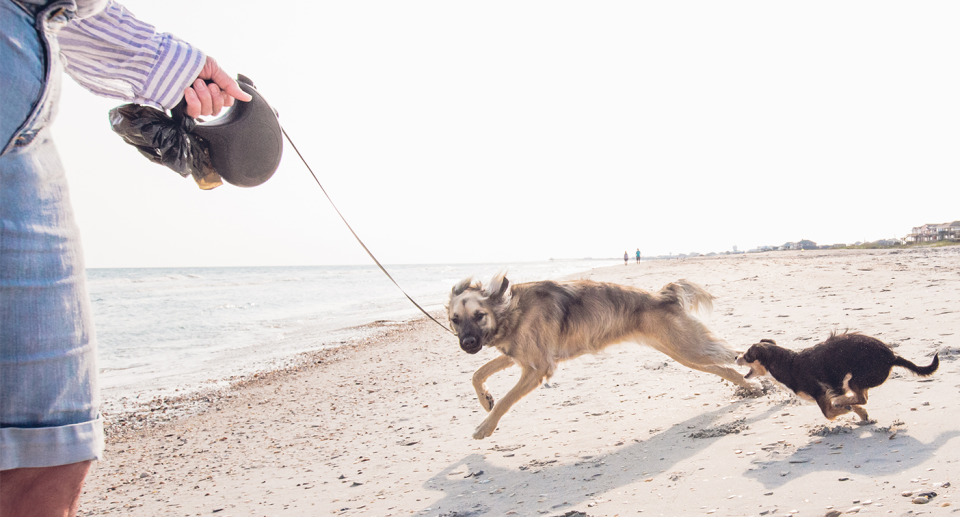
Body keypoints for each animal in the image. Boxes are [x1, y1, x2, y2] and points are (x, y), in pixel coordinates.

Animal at [446, 272, 752, 438]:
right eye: (454, 319)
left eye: (479, 315)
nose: (468, 343)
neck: (511, 310)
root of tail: (662, 295)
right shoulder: (520, 357)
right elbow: (477, 374)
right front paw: (485, 400)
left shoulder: (537, 368)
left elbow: (506, 401)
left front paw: (484, 428)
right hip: (683, 353)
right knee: (727, 368)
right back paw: (750, 388)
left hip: (690, 347)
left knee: (736, 354)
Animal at [736, 332, 936, 422]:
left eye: (747, 355)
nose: (736, 357)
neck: (788, 364)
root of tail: (891, 357)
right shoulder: (832, 390)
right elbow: (851, 405)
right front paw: (860, 414)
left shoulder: (820, 392)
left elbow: (828, 413)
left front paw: (843, 409)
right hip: (854, 381)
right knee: (860, 397)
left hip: (855, 378)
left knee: (862, 397)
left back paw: (842, 403)